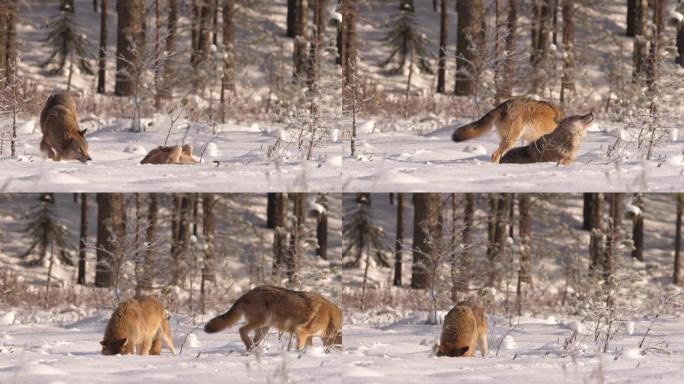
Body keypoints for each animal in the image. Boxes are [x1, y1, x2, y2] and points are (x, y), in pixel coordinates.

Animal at [203, 284, 342, 352]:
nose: (340, 351)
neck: (329, 318)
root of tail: (246, 294)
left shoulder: (308, 336)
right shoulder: (301, 332)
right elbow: (300, 348)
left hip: (265, 328)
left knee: (253, 339)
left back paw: (254, 351)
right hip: (263, 321)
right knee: (241, 330)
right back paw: (251, 348)